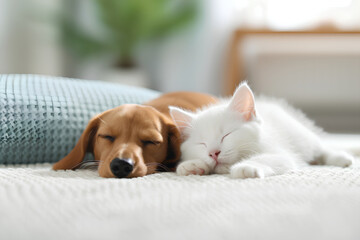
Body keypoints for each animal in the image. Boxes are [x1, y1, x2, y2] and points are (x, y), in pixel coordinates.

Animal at [169, 82, 354, 178]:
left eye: (226, 135)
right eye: (202, 143)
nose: (213, 153)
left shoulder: (282, 154)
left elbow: (269, 159)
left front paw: (247, 167)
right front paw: (191, 165)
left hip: (302, 137)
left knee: (321, 148)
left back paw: (342, 158)